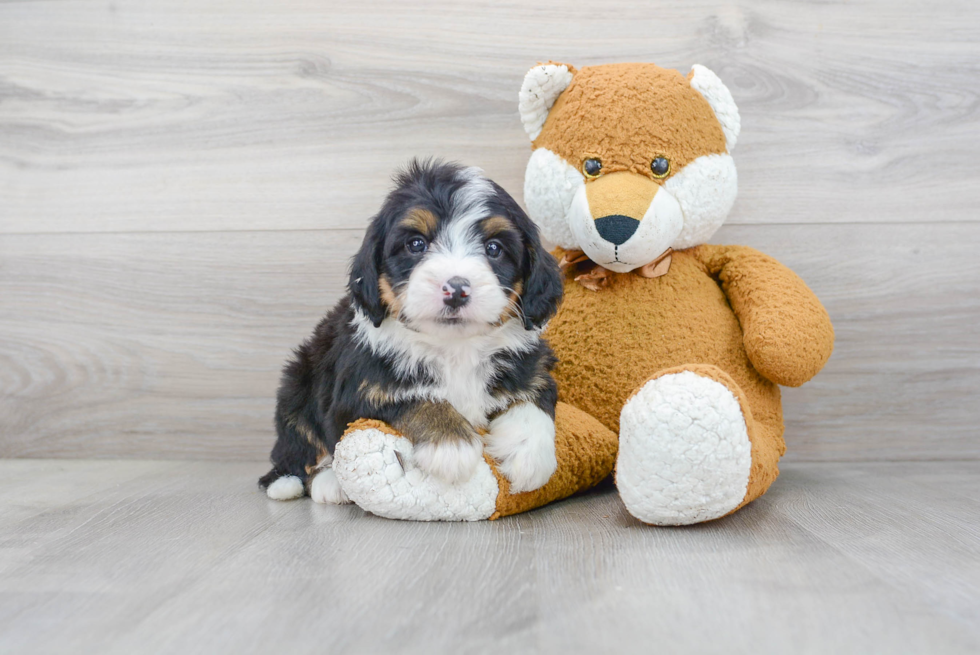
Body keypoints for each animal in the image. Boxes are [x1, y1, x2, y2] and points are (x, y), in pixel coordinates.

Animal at [258, 161, 568, 504]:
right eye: (416, 244)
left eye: (494, 248)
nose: (456, 289)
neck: (454, 347)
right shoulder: (362, 388)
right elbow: (412, 396)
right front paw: (451, 444)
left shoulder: (531, 366)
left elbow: (535, 398)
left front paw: (529, 455)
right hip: (298, 384)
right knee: (298, 445)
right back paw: (306, 483)